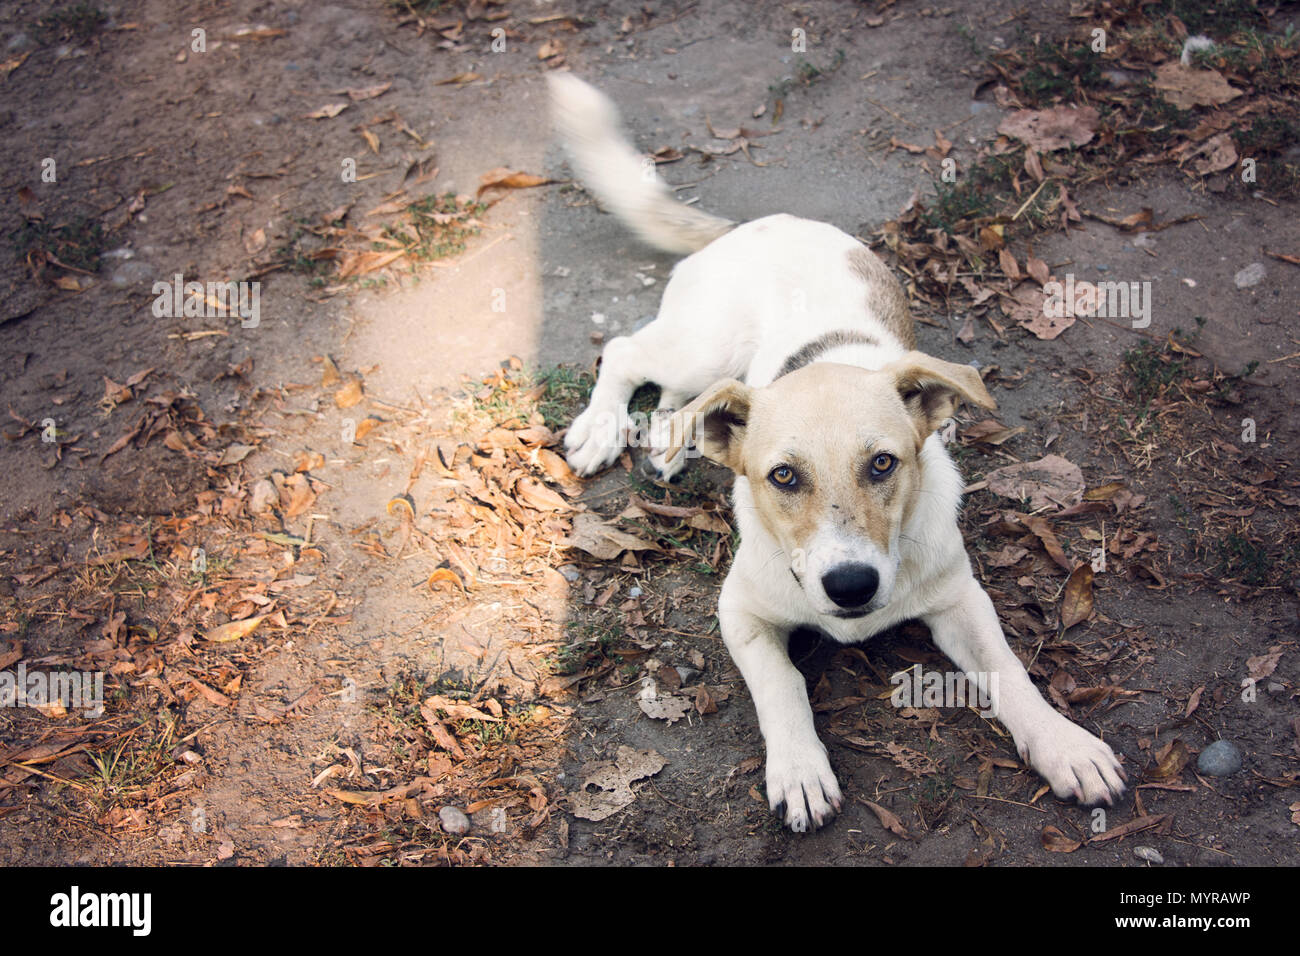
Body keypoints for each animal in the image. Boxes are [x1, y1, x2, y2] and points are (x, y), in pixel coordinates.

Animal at [548, 74, 1128, 832]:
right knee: (624, 352)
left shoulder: (962, 599)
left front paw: (1065, 746)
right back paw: (603, 428)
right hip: (701, 344)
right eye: (783, 476)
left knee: (684, 399)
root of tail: (755, 224)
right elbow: (783, 684)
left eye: (883, 463)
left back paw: (669, 445)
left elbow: (1012, 673)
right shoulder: (740, 612)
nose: (850, 586)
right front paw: (799, 770)